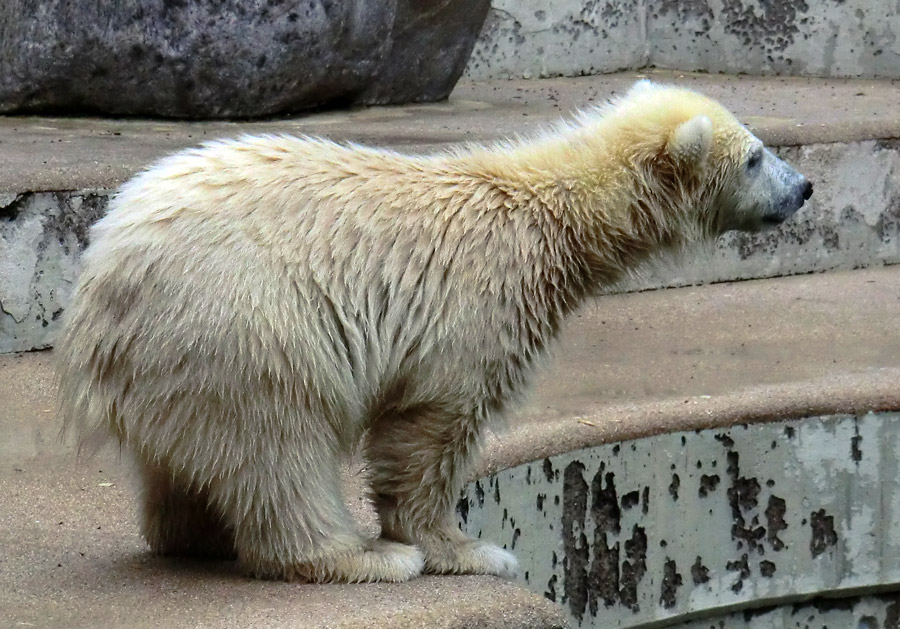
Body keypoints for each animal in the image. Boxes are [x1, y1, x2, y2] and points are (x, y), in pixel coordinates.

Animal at [59, 81, 812, 580]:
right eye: (755, 156)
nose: (804, 187)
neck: (550, 218)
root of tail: (99, 276)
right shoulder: (480, 301)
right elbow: (434, 424)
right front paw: (471, 549)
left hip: (177, 352)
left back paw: (198, 537)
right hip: (243, 319)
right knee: (279, 438)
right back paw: (365, 557)